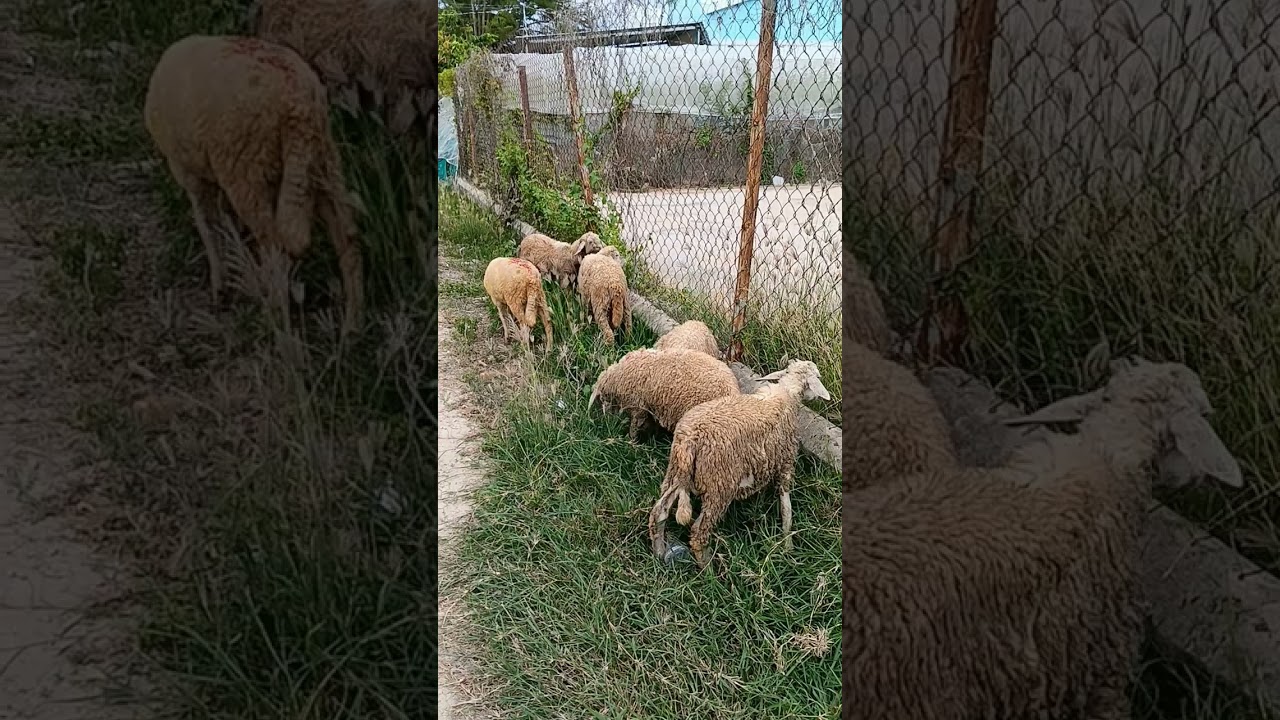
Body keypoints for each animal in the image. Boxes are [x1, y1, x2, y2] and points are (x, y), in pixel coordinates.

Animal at [143, 35, 364, 335]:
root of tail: (298, 104)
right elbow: (224, 222)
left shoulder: (188, 171)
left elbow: (207, 223)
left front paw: (221, 286)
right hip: (322, 161)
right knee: (347, 236)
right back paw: (353, 325)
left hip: (247, 171)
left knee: (276, 248)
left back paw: (275, 316)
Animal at [648, 359, 831, 568]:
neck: (787, 393)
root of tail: (690, 441)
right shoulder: (786, 462)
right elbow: (786, 507)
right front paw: (788, 545)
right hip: (718, 487)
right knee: (698, 534)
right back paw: (708, 570)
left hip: (676, 473)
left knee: (658, 513)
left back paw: (659, 554)